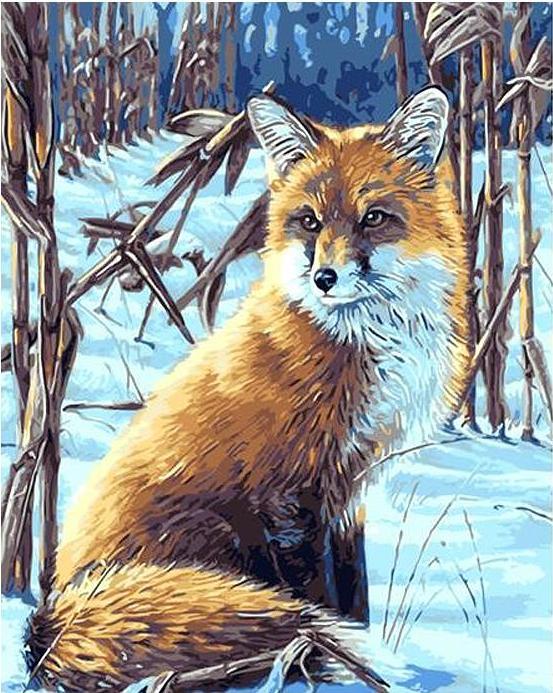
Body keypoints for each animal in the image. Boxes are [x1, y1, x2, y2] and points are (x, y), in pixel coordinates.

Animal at [26, 86, 471, 691]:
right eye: (309, 222)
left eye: (374, 218)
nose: (325, 278)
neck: (365, 340)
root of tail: (50, 619)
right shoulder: (289, 491)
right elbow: (317, 597)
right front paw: (332, 663)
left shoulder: (350, 490)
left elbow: (354, 595)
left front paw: (356, 657)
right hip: (216, 535)